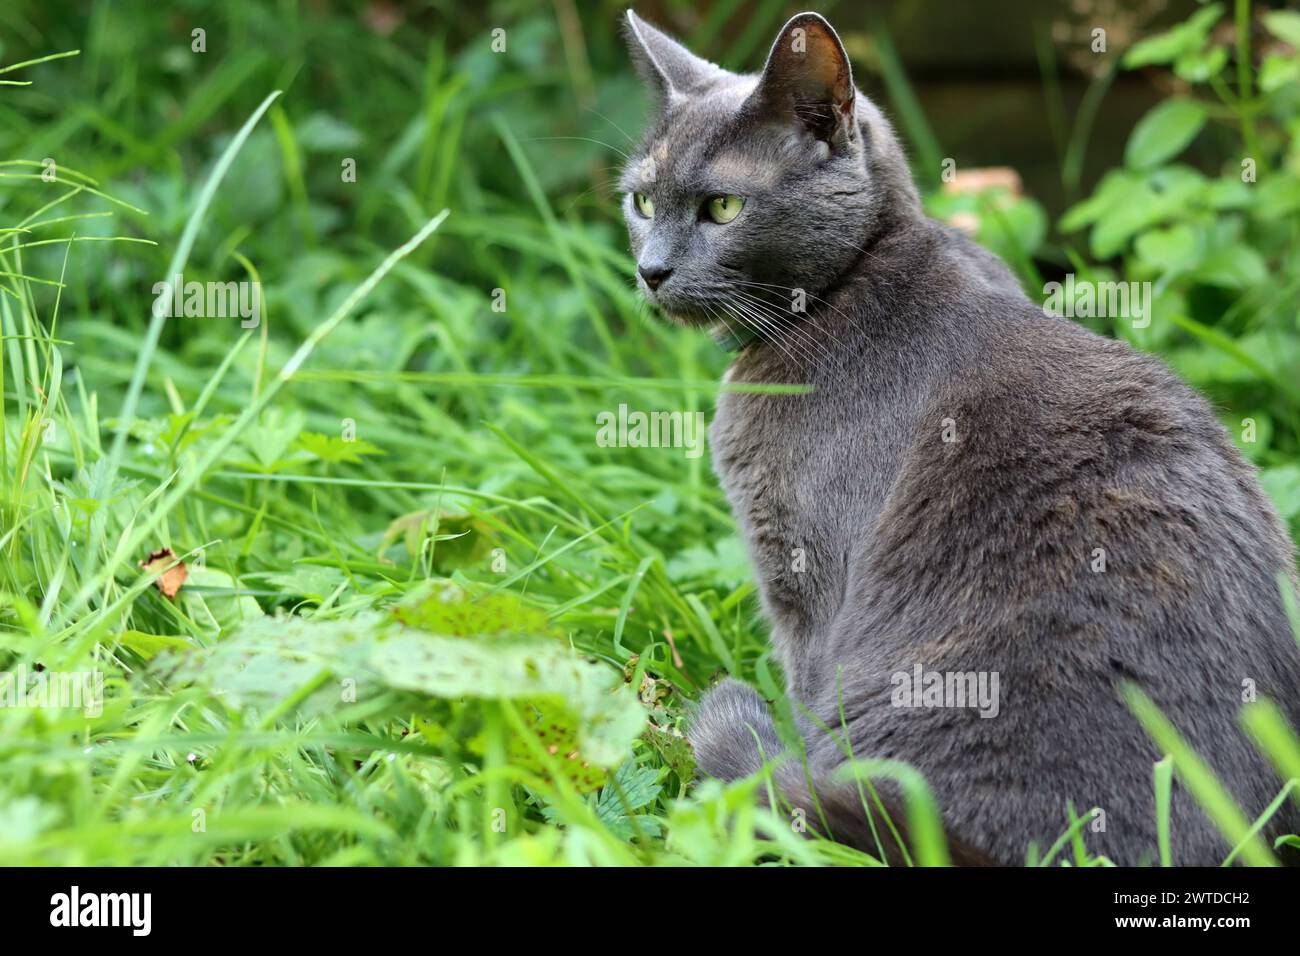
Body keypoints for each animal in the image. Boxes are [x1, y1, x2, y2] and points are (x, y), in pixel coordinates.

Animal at [618, 9, 1300, 868]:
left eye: (721, 209)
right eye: (642, 201)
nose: (650, 269)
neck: (845, 289)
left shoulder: (805, 574)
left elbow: (803, 692)